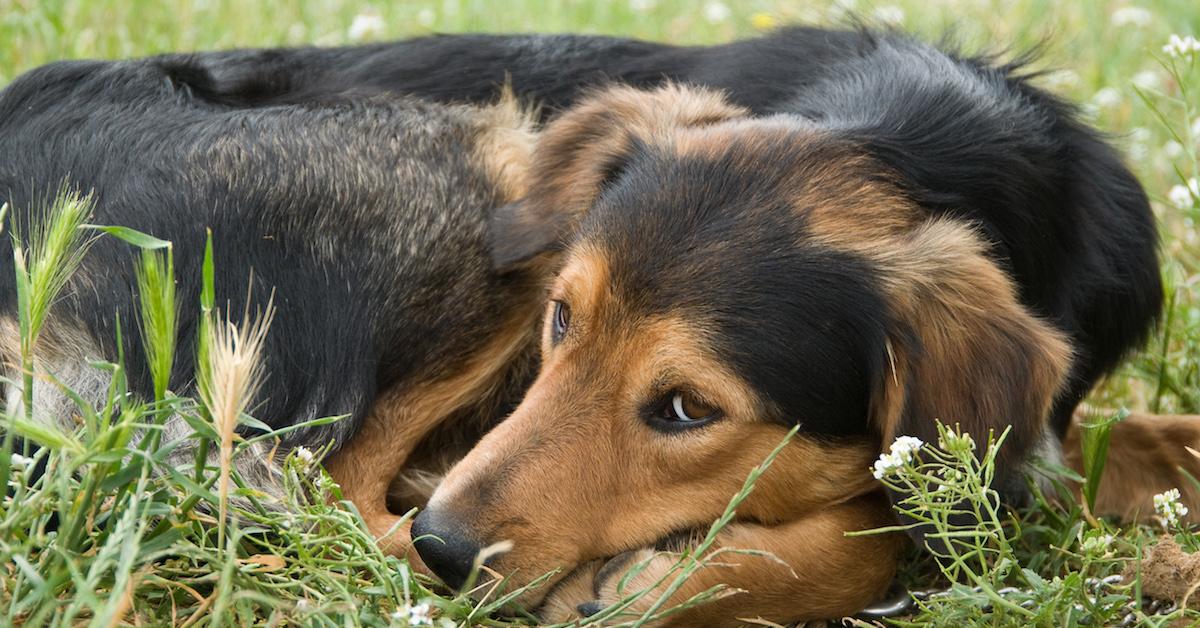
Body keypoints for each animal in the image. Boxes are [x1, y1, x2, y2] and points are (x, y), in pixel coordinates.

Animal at [4, 25, 1195, 628]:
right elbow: (871, 535)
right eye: (562, 322)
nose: (446, 547)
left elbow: (1129, 442)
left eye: (686, 408)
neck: (925, 135)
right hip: (482, 167)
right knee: (316, 494)